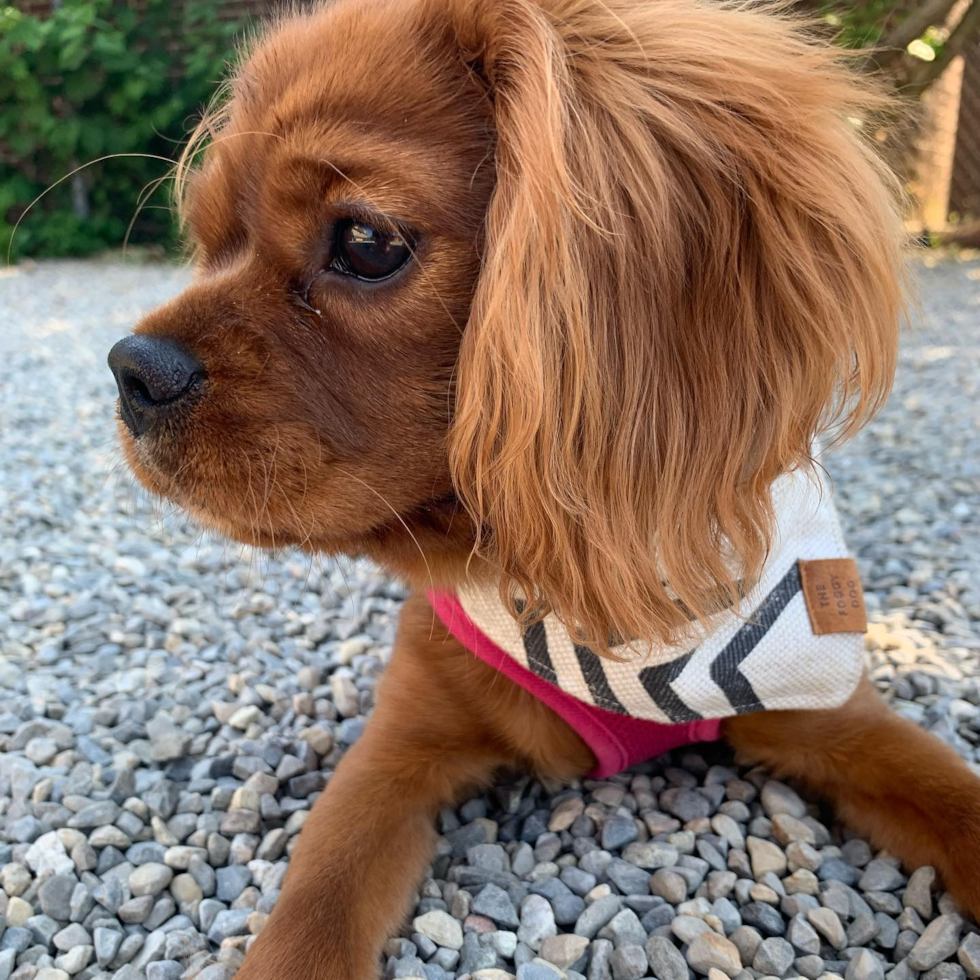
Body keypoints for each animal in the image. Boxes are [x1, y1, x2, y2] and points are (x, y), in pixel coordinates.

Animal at [105, 1, 980, 972]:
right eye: (210, 235)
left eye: (367, 243)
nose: (131, 370)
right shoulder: (396, 749)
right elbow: (314, 911)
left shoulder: (835, 711)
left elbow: (959, 799)